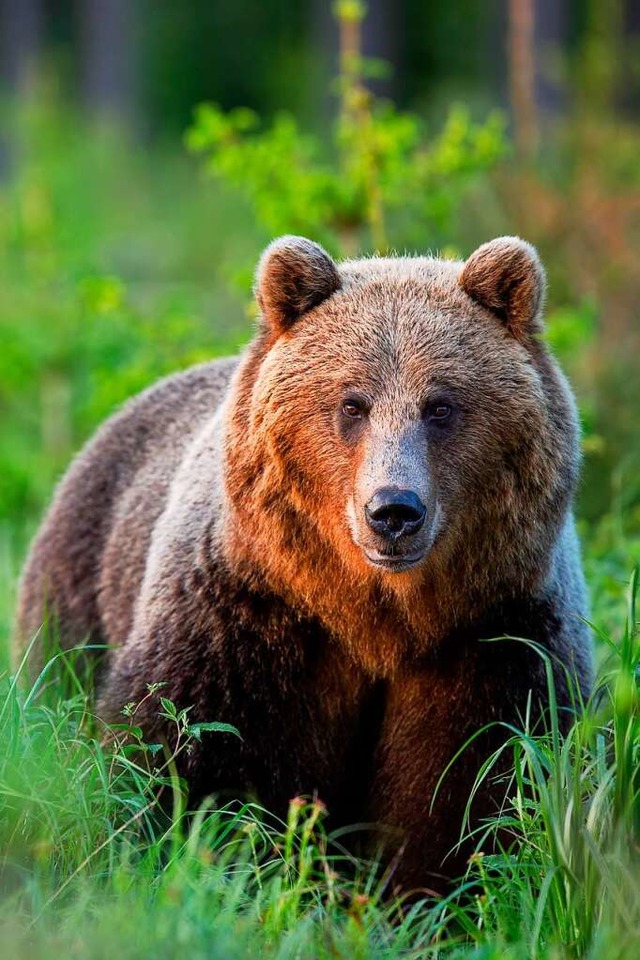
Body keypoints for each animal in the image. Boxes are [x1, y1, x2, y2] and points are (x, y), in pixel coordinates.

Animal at [16, 238, 596, 892]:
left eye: (441, 406)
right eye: (352, 403)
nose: (394, 511)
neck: (373, 616)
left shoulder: (496, 630)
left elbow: (475, 784)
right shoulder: (246, 616)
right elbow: (179, 749)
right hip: (76, 584)